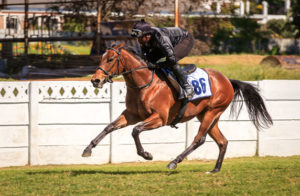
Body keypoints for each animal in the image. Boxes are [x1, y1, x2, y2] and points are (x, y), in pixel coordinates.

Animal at [81, 43, 272, 173]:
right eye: (101, 58)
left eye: (110, 59)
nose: (95, 80)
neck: (145, 84)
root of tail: (227, 80)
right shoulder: (131, 115)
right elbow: (110, 126)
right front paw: (88, 149)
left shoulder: (159, 118)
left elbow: (136, 131)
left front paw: (146, 154)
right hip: (208, 115)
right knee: (222, 141)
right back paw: (215, 169)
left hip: (212, 112)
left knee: (199, 139)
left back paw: (174, 161)